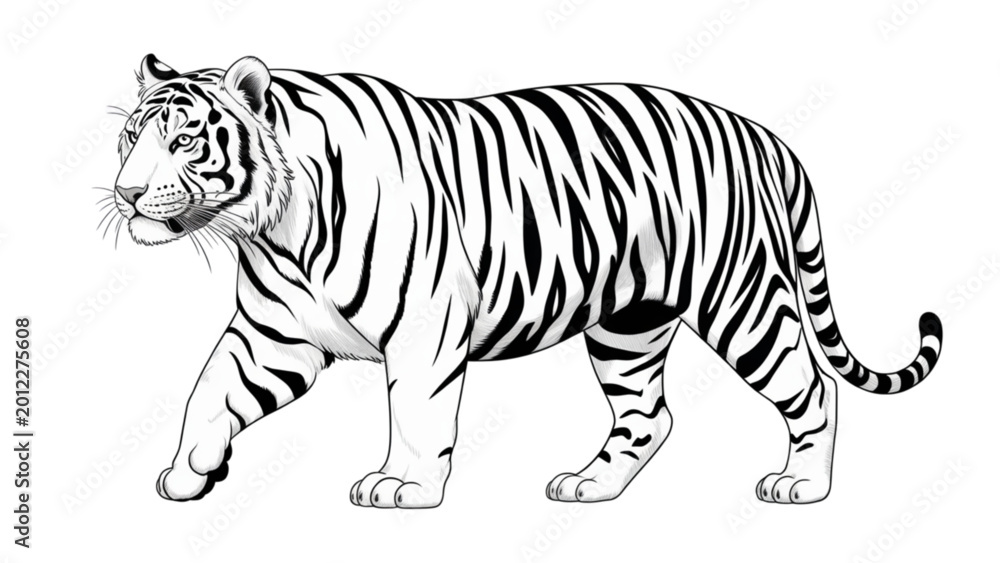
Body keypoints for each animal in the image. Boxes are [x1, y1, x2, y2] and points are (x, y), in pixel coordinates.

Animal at [107, 54, 943, 508]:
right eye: (128, 138)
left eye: (184, 140)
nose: (124, 192)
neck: (275, 230)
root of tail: (760, 132)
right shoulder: (274, 335)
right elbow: (210, 390)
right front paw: (189, 470)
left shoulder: (425, 331)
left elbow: (416, 416)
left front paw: (403, 488)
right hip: (628, 325)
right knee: (649, 415)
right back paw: (589, 486)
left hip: (741, 301)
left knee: (812, 386)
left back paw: (801, 484)